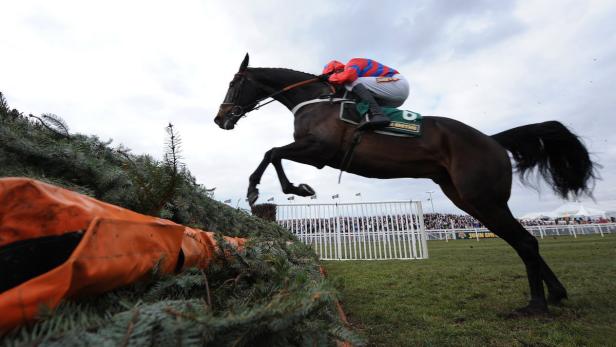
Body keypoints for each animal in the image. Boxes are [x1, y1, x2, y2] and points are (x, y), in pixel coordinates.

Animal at [215, 53, 596, 316]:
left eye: (234, 84)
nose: (220, 118)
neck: (316, 99)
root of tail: (492, 139)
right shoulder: (315, 151)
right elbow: (273, 153)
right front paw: (286, 188)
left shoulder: (320, 149)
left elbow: (272, 152)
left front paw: (279, 189)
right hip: (468, 200)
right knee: (522, 241)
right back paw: (556, 294)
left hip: (482, 197)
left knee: (526, 242)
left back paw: (537, 305)